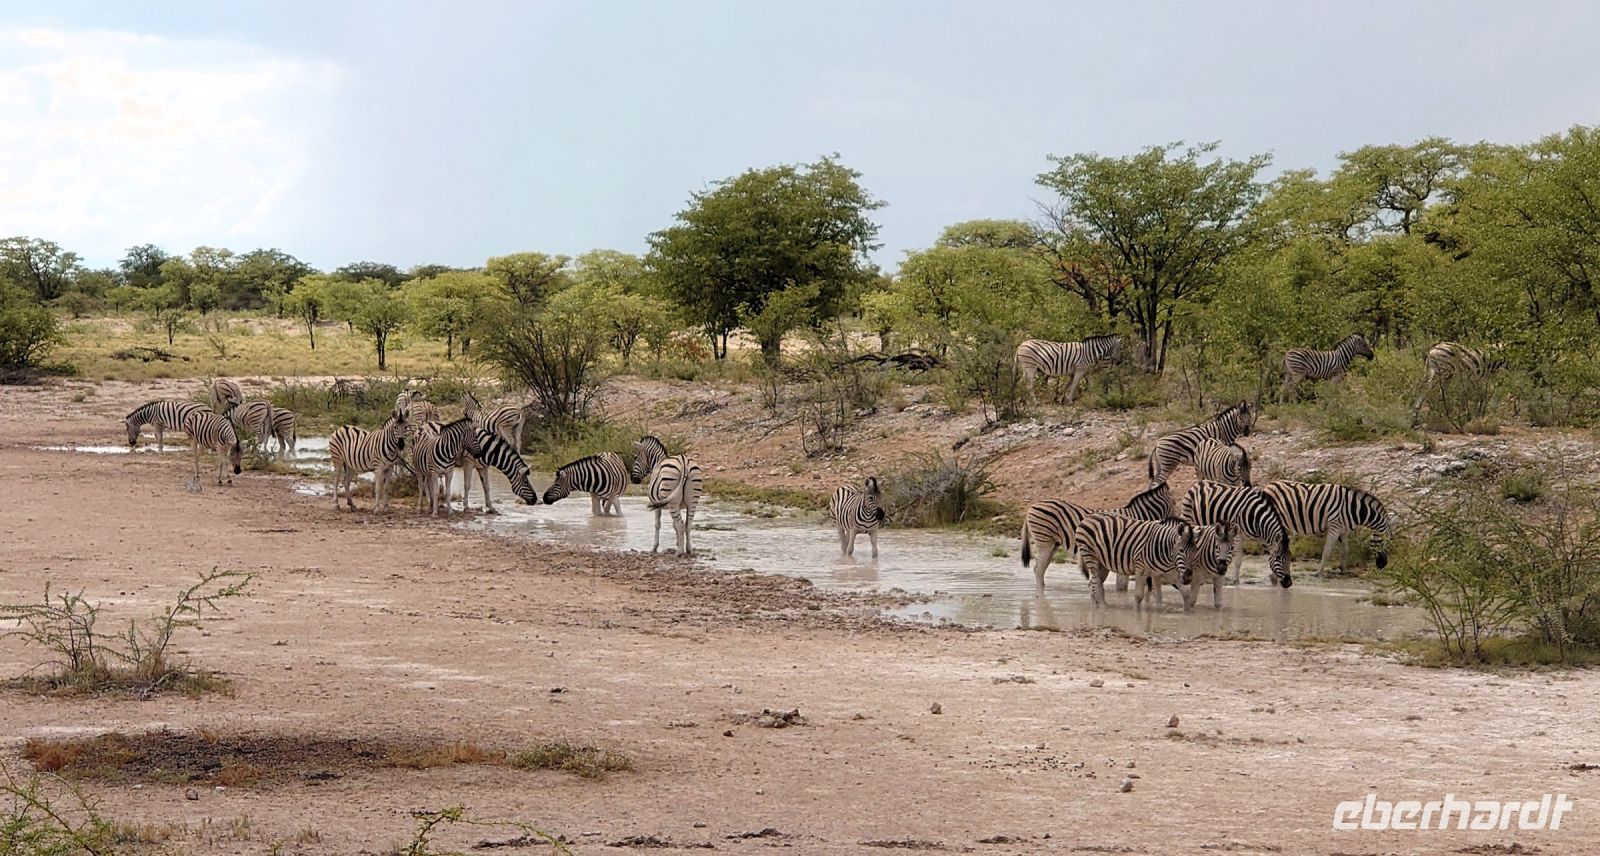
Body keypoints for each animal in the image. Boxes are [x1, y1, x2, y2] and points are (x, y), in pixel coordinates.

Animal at [1018, 481, 1172, 590]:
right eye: (1174, 503)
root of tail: (1032, 506)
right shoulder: (1124, 552)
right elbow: (1122, 586)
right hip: (1044, 541)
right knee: (1038, 569)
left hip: (1053, 544)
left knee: (1041, 568)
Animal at [1074, 514, 1235, 610]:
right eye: (1181, 550)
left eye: (1195, 551)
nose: (1188, 577)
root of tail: (1088, 517)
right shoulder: (1142, 570)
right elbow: (1139, 596)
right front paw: (1137, 613)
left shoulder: (1168, 574)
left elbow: (1185, 596)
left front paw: (1186, 613)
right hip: (1090, 556)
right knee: (1095, 582)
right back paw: (1101, 607)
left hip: (1102, 563)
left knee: (1094, 583)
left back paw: (1098, 604)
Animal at [1259, 481, 1391, 574]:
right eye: (1387, 542)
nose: (1383, 565)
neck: (1354, 508)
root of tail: (1268, 485)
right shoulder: (1334, 528)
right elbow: (1327, 551)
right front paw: (1318, 572)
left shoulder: (1343, 530)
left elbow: (1345, 550)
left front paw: (1343, 569)